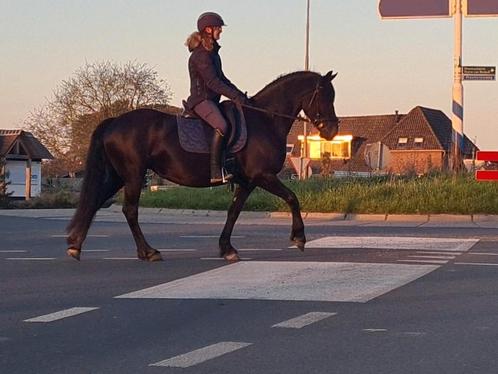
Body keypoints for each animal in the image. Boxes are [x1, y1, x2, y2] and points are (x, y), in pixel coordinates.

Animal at [67, 71, 338, 262]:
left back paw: (75, 244)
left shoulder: (247, 181)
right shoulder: (263, 175)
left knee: (95, 202)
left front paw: (226, 248)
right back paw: (148, 251)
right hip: (133, 174)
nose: (333, 130)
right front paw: (299, 237)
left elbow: (233, 211)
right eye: (325, 96)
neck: (264, 119)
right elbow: (292, 197)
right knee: (129, 210)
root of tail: (114, 122)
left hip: (118, 175)